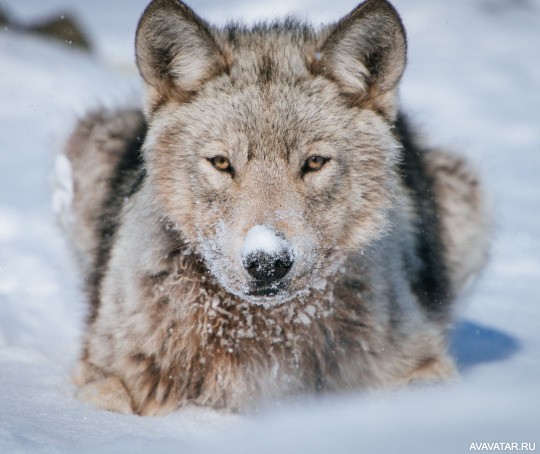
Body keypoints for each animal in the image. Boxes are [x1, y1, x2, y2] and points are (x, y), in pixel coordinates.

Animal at [60, 0, 490, 414]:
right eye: (222, 163)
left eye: (314, 163)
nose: (267, 262)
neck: (262, 329)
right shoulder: (104, 368)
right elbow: (108, 399)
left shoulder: (424, 363)